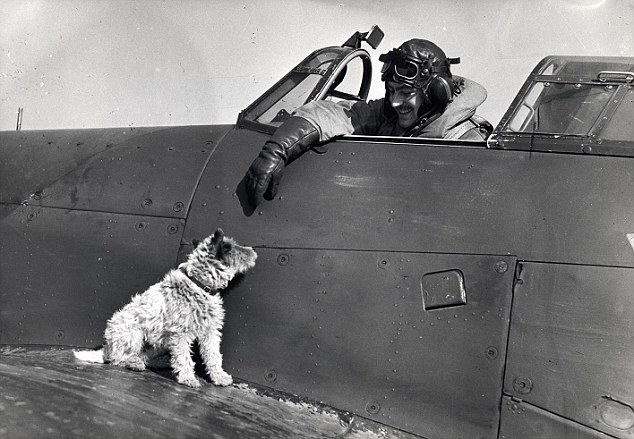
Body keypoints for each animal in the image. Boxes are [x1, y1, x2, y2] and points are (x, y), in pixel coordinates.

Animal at [76, 229, 256, 390]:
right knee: (117, 359)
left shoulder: (210, 332)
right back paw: (134, 363)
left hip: (158, 344)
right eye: (228, 247)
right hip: (132, 335)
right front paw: (188, 379)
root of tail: (107, 347)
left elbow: (214, 356)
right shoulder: (181, 334)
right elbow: (184, 358)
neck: (199, 284)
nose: (253, 251)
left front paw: (219, 377)